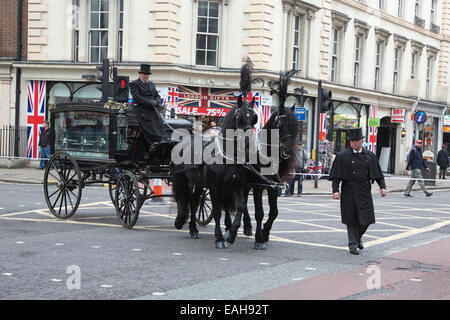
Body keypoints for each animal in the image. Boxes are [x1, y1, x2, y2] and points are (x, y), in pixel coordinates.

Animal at [225, 69, 298, 250]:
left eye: (296, 126)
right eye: (279, 125)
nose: (287, 150)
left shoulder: (271, 185)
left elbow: (273, 212)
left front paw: (264, 233)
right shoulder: (258, 185)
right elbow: (259, 212)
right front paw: (259, 237)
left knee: (242, 202)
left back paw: (246, 227)